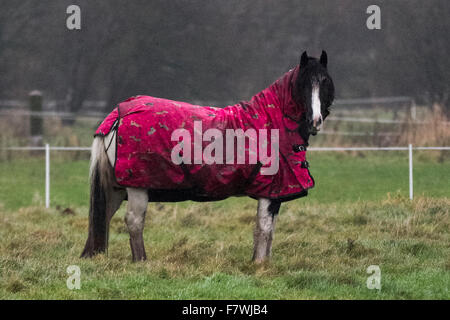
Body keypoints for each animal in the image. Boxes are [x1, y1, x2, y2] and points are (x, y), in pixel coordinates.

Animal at [81, 51, 334, 262]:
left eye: (325, 82)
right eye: (303, 84)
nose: (315, 121)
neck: (272, 122)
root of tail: (119, 114)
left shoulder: (275, 193)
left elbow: (269, 232)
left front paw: (264, 264)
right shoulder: (269, 192)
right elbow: (264, 230)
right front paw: (259, 265)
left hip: (116, 188)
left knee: (104, 218)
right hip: (137, 186)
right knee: (133, 222)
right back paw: (141, 261)